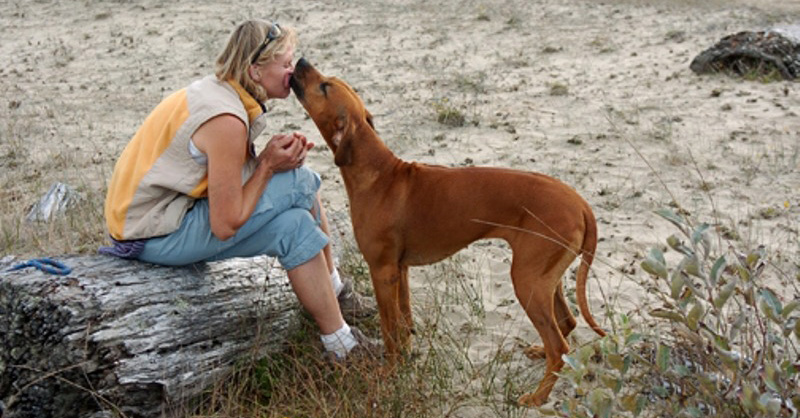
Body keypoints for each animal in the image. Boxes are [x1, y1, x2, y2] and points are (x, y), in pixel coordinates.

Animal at [290, 58, 604, 404]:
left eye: (325, 86)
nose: (300, 61)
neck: (378, 174)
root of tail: (580, 203)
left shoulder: (381, 271)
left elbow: (389, 329)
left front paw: (389, 373)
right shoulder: (400, 270)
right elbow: (404, 323)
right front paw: (406, 361)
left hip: (527, 280)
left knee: (559, 346)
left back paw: (536, 397)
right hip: (544, 276)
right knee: (566, 322)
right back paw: (539, 356)